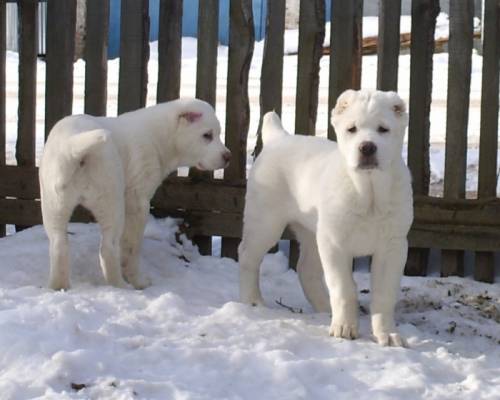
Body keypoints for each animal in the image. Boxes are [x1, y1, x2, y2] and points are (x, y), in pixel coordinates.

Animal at [40, 97, 231, 290]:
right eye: (207, 135)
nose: (228, 157)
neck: (160, 136)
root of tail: (72, 148)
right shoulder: (138, 202)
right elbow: (131, 246)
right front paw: (136, 279)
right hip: (112, 202)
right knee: (108, 247)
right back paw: (121, 286)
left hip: (53, 204)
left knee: (59, 245)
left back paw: (58, 287)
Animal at [240, 89, 412, 346]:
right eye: (352, 129)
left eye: (383, 129)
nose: (367, 147)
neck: (368, 192)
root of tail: (278, 137)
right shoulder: (335, 243)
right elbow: (343, 288)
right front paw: (344, 328)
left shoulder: (393, 247)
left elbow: (384, 294)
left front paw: (387, 334)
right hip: (265, 223)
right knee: (247, 256)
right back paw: (251, 300)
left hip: (312, 234)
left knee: (306, 270)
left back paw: (324, 308)